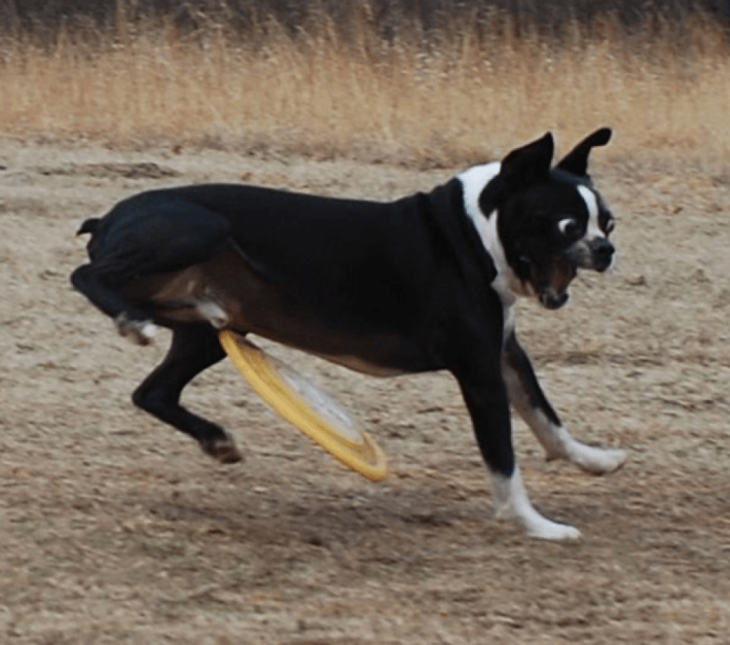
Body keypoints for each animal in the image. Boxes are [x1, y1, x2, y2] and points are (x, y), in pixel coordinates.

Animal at [71, 127, 624, 540]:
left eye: (609, 222)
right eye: (567, 225)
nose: (605, 249)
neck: (473, 233)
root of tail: (109, 217)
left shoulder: (506, 354)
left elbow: (547, 418)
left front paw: (594, 460)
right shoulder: (479, 372)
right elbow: (504, 461)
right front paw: (537, 525)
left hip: (205, 335)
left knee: (153, 392)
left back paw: (216, 440)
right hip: (197, 230)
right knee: (86, 276)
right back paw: (131, 321)